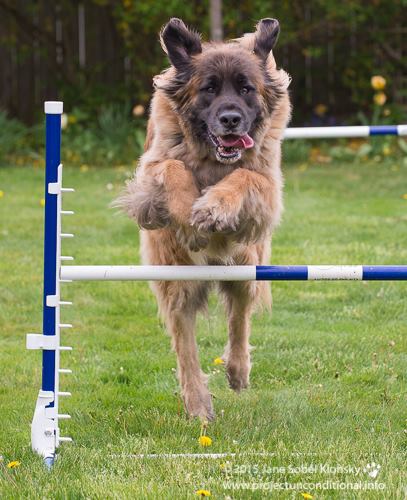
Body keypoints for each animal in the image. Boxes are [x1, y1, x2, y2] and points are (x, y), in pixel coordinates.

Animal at [116, 17, 292, 420]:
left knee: (239, 317)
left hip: (246, 264)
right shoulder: (151, 173)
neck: (213, 161)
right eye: (209, 89)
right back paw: (197, 402)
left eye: (246, 89)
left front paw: (213, 207)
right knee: (186, 346)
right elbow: (175, 168)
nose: (231, 119)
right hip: (175, 277)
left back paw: (238, 371)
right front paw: (191, 220)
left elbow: (243, 177)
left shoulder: (266, 189)